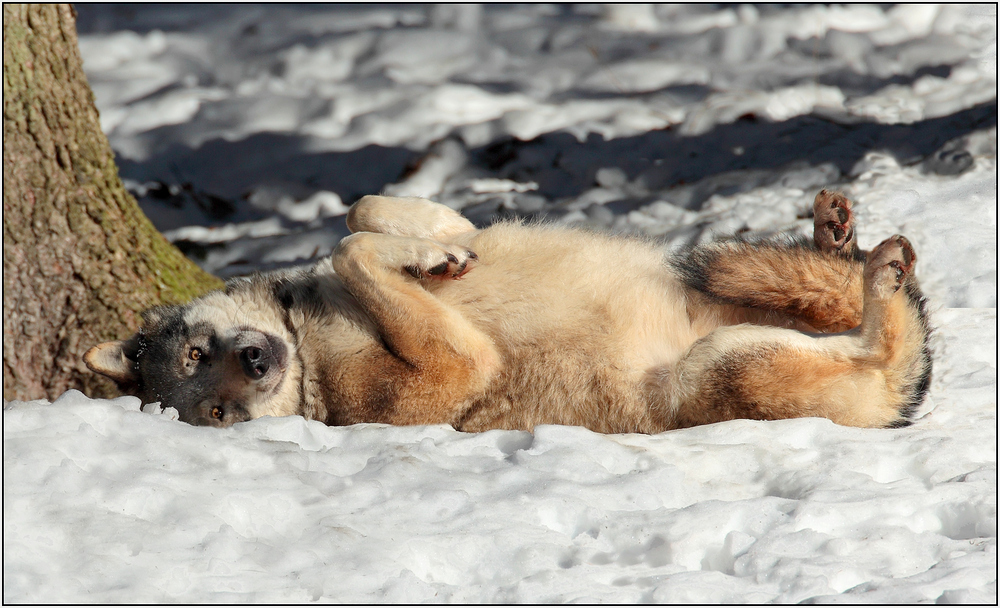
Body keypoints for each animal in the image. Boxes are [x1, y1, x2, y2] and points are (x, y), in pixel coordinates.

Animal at [84, 191, 928, 432]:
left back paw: (839, 235)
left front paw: (435, 252)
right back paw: (880, 276)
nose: (257, 363)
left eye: (197, 355)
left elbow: (363, 219)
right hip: (713, 368)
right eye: (215, 412)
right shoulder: (457, 369)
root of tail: (901, 407)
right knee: (883, 343)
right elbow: (352, 248)